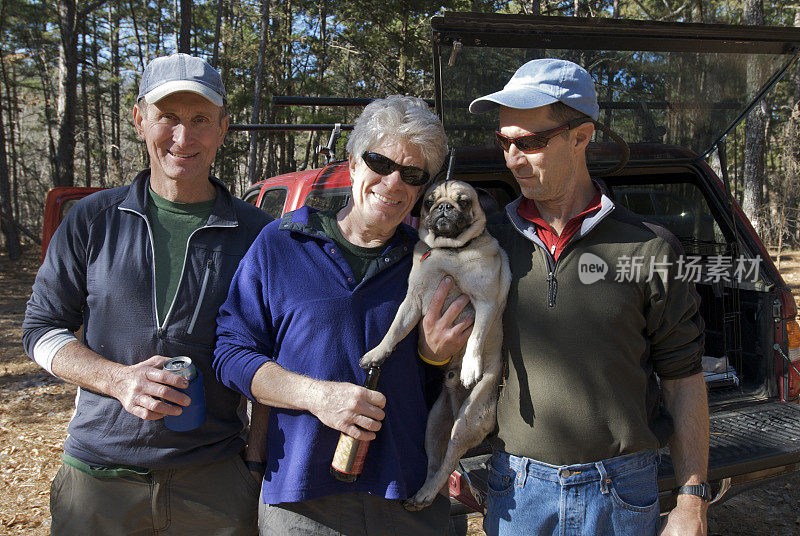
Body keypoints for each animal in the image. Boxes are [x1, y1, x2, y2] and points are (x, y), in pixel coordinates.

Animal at [360, 179, 510, 510]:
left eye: (464, 202)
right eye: (430, 202)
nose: (444, 207)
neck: (450, 254)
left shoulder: (484, 304)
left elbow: (476, 338)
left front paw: (470, 367)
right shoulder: (412, 302)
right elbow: (394, 330)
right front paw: (378, 352)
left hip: (466, 421)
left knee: (450, 461)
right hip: (434, 425)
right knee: (435, 464)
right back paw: (421, 494)